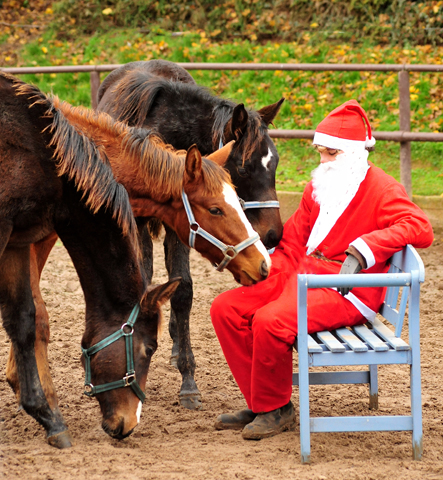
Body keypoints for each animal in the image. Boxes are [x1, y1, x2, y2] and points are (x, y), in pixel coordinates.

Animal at [97, 58, 284, 406]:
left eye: (275, 164)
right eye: (243, 168)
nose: (273, 235)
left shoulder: (184, 223)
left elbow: (182, 289)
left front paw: (187, 378)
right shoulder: (139, 221)